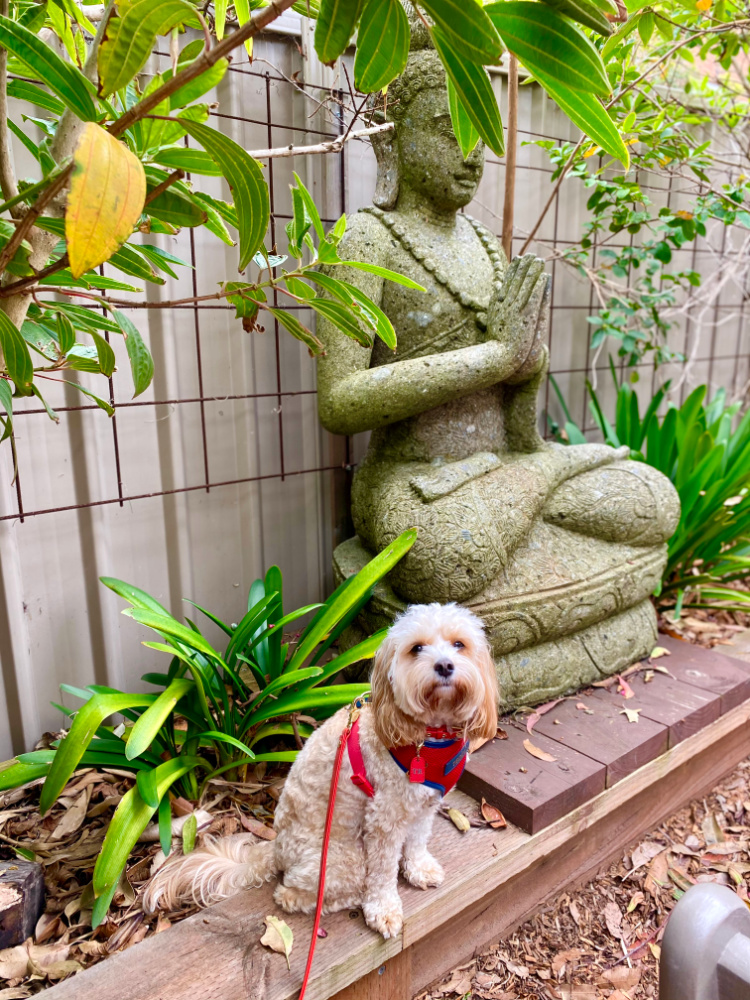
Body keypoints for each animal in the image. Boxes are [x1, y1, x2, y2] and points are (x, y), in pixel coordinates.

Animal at [145, 600, 502, 936]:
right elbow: (383, 871)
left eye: (459, 644)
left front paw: (419, 868)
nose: (444, 665)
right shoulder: (384, 817)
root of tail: (277, 849)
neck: (429, 738)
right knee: (290, 895)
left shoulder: (424, 803)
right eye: (416, 648)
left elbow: (417, 840)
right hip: (346, 859)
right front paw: (383, 909)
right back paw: (346, 897)